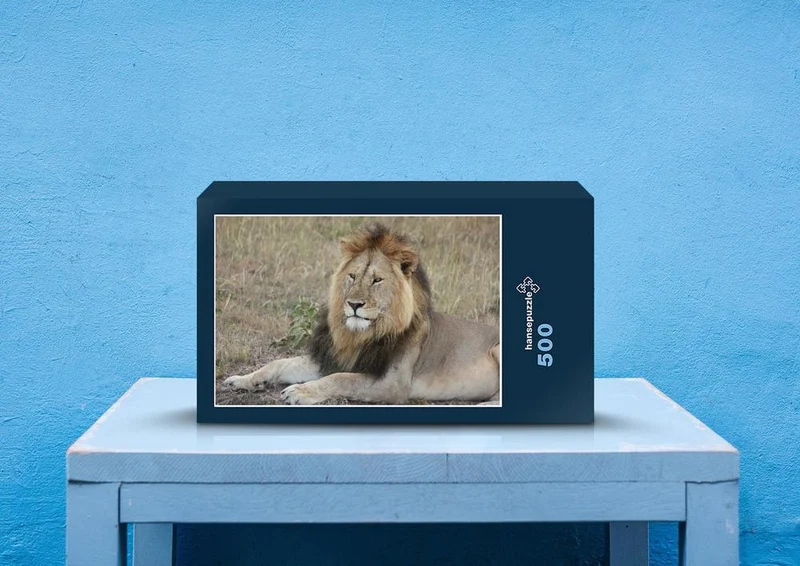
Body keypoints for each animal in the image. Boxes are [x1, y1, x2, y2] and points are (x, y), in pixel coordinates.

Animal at [222, 223, 500, 405]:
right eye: (352, 276)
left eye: (377, 280)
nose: (354, 304)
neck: (359, 336)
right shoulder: (334, 359)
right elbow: (278, 363)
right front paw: (243, 380)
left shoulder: (393, 384)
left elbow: (340, 379)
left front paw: (300, 392)